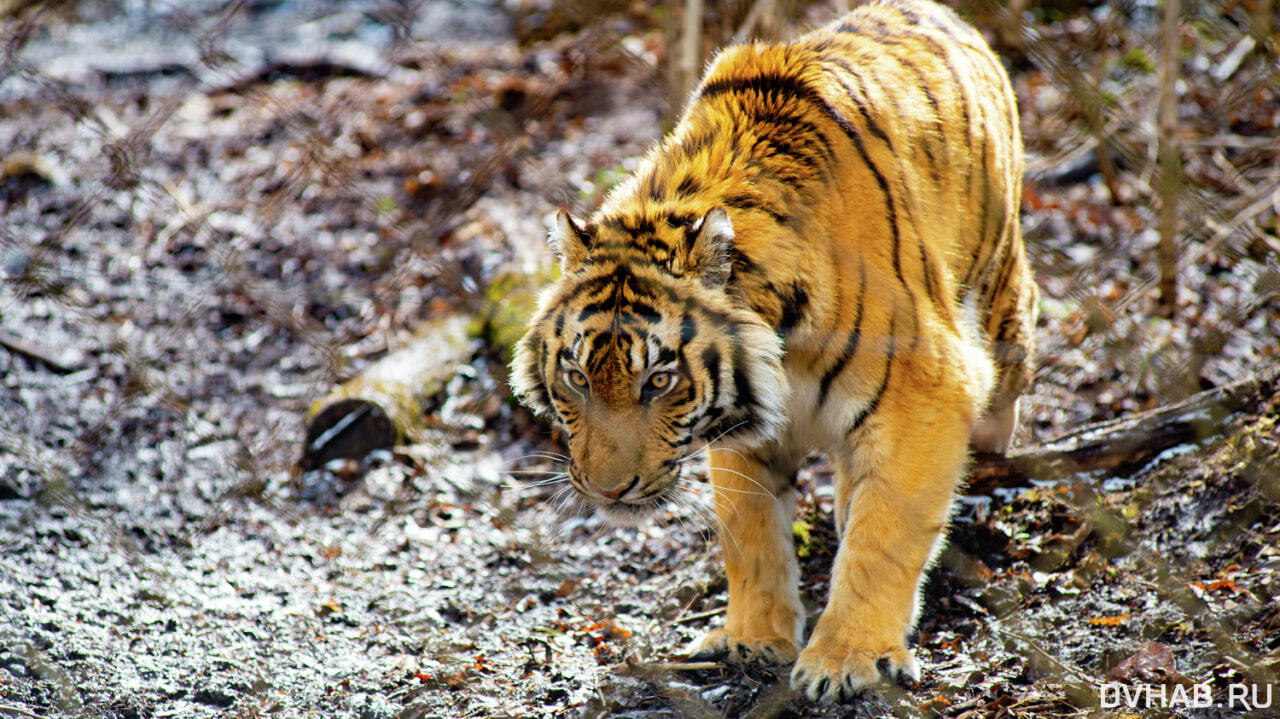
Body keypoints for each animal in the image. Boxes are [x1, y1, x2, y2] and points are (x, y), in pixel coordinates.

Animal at [504, 0, 1034, 701]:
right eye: (577, 378)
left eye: (658, 382)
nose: (606, 490)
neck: (784, 347)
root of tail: (944, 14)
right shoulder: (740, 427)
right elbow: (749, 532)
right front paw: (755, 640)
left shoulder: (927, 387)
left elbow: (885, 536)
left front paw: (848, 658)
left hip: (1001, 295)